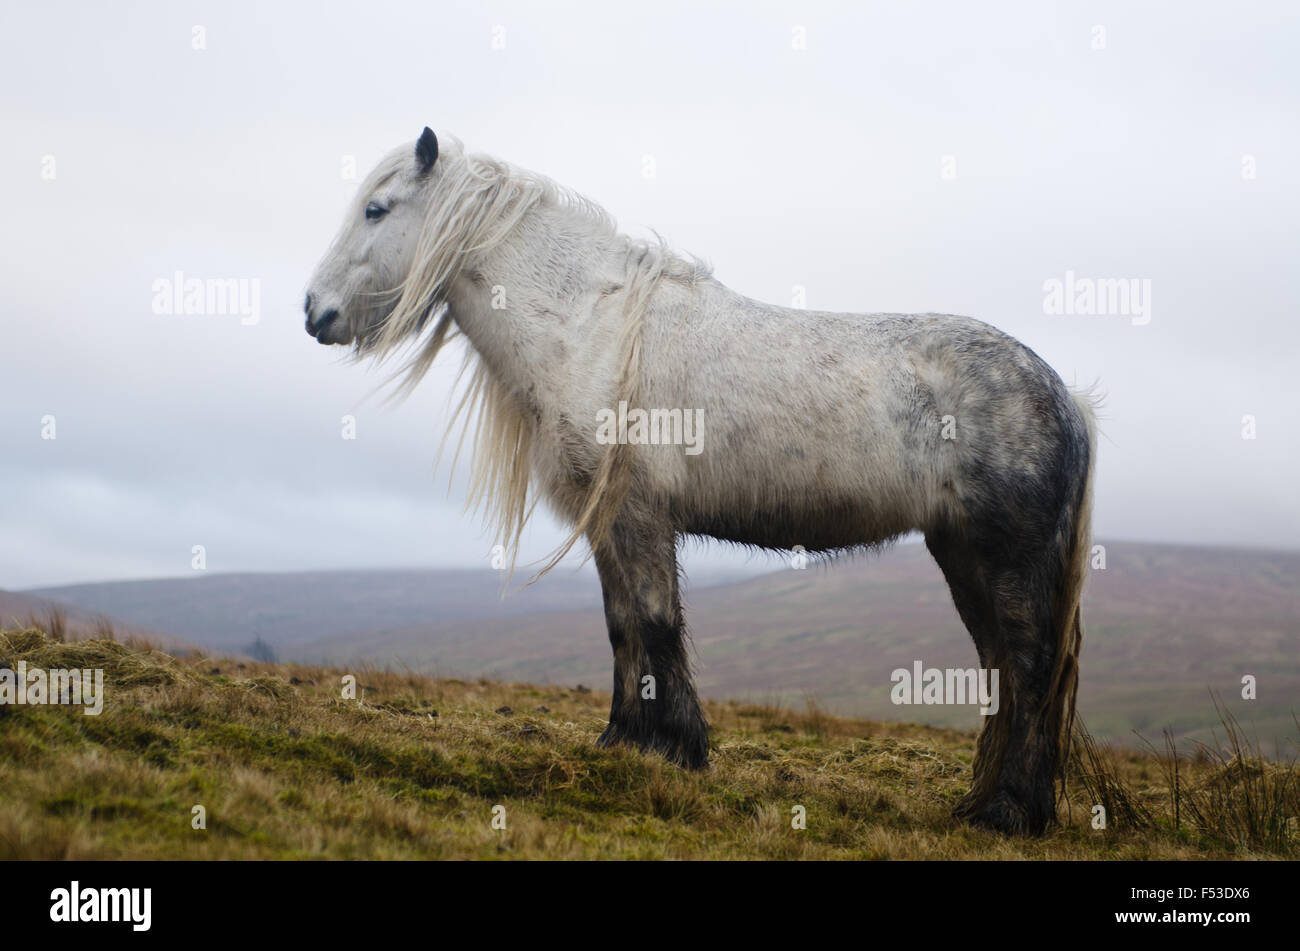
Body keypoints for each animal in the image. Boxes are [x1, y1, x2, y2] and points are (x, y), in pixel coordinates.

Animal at [301, 126, 1097, 831]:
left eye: (377, 210)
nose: (314, 312)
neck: (589, 326)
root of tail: (1064, 396)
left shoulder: (639, 517)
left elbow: (653, 622)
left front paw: (675, 747)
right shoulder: (609, 525)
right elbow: (621, 624)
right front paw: (625, 740)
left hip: (1006, 560)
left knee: (1029, 667)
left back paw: (1007, 813)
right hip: (961, 555)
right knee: (1000, 665)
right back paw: (985, 802)